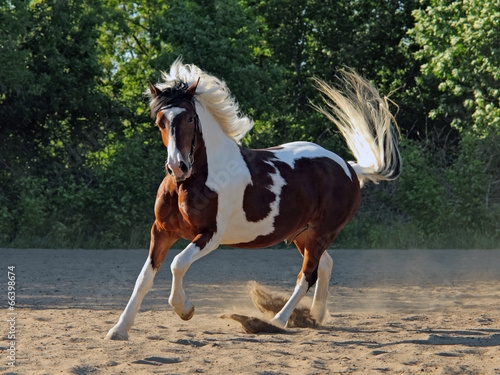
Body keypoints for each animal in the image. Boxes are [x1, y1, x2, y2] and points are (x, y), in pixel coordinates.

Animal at [104, 59, 398, 340]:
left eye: (189, 118)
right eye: (160, 121)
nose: (178, 167)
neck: (193, 182)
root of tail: (349, 168)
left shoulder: (210, 235)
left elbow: (178, 264)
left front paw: (185, 310)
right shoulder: (162, 231)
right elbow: (144, 279)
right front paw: (119, 329)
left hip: (321, 233)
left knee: (307, 276)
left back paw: (277, 321)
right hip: (303, 234)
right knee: (325, 266)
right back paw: (314, 317)